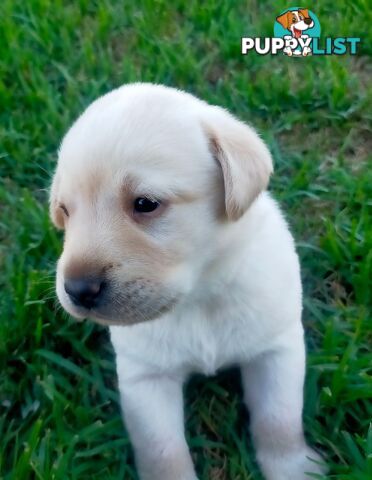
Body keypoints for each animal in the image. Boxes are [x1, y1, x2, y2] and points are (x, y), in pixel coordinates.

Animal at [50, 84, 326, 478]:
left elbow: (279, 421)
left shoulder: (277, 349)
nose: (77, 290)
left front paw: (294, 469)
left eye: (145, 204)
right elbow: (163, 451)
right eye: (65, 211)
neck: (199, 298)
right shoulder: (145, 378)